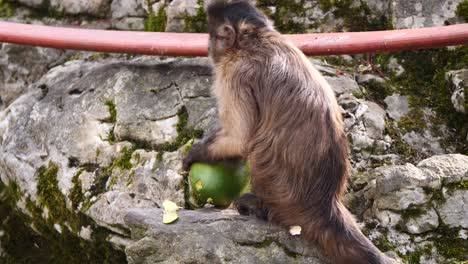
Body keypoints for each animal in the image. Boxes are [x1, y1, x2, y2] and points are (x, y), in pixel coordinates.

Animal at [183, 1, 392, 262]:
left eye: (212, 36)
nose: (207, 47)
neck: (258, 37)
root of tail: (325, 204)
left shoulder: (236, 73)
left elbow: (239, 139)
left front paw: (194, 154)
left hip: (281, 193)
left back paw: (258, 207)